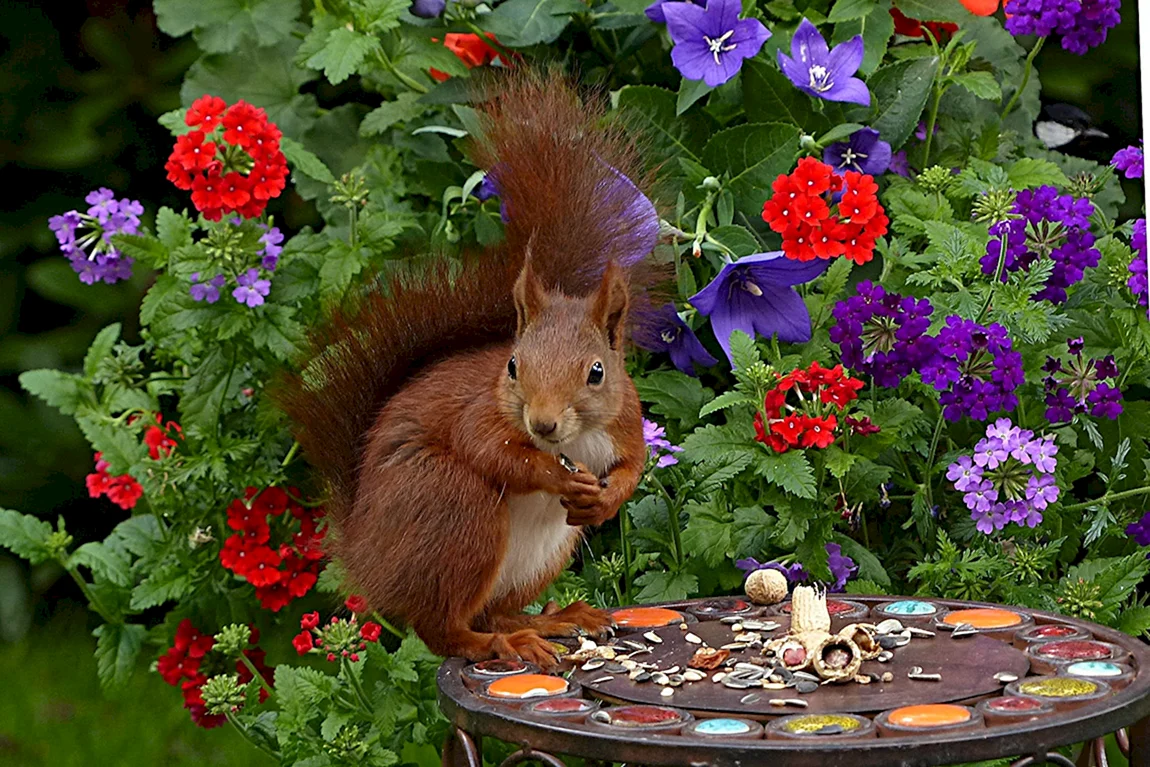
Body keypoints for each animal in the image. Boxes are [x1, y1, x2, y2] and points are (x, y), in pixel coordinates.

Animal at [277, 71, 663, 667]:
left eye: (597, 372)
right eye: (513, 365)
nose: (543, 423)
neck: (570, 440)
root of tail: (366, 557)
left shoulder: (625, 422)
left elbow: (633, 467)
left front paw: (605, 496)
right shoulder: (479, 413)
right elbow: (487, 449)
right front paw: (554, 475)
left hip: (540, 555)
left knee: (489, 609)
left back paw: (552, 620)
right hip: (456, 507)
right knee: (445, 629)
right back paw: (506, 642)